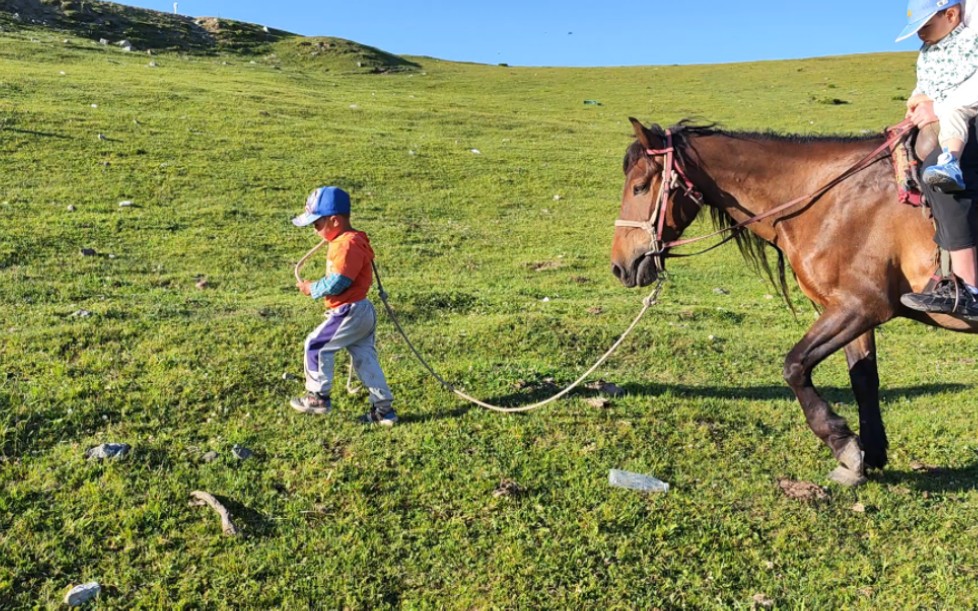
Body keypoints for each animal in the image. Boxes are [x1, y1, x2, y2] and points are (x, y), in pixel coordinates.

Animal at [608, 118, 972, 482]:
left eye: (640, 187)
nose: (619, 266)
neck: (832, 198)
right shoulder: (851, 308)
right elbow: (863, 379)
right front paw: (868, 455)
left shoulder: (861, 307)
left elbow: (795, 366)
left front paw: (843, 444)